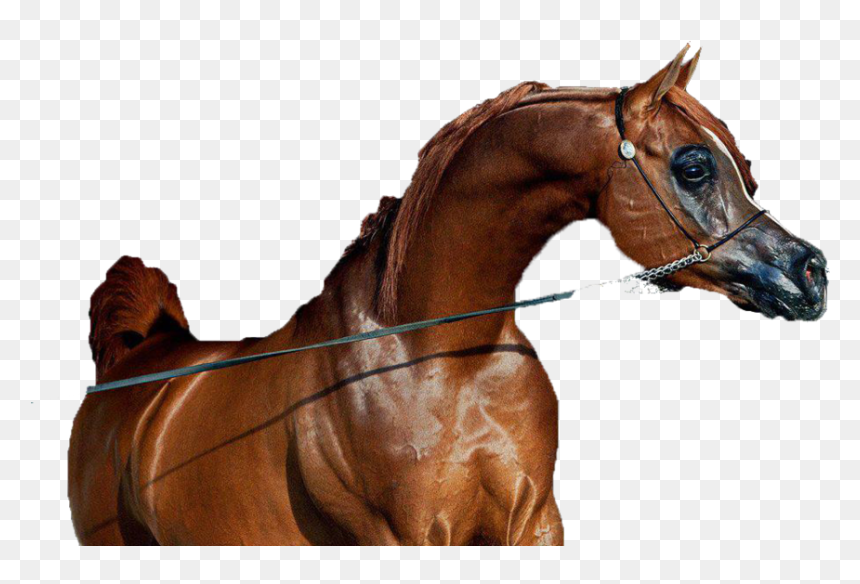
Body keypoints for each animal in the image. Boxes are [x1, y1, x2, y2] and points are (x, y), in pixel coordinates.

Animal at [68, 46, 828, 545]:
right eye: (694, 166)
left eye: (743, 165)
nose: (810, 272)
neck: (441, 356)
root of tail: (135, 362)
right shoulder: (405, 536)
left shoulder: (532, 525)